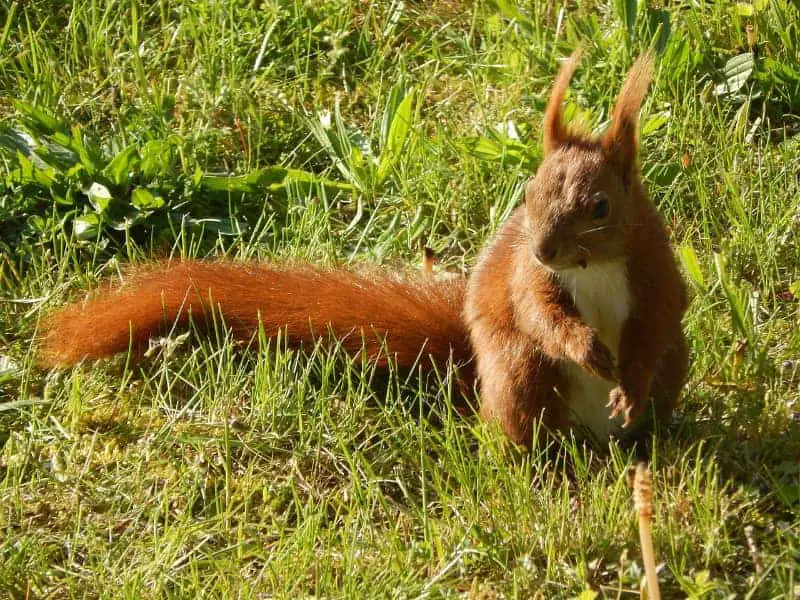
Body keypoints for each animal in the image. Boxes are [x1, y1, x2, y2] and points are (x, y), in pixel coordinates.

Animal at [37, 50, 688, 446]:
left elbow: (651, 329)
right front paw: (586, 345)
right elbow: (541, 314)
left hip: (671, 369)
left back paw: (642, 433)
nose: (544, 252)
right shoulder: (528, 282)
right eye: (528, 192)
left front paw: (626, 379)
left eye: (601, 207)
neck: (594, 267)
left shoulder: (653, 271)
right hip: (522, 376)